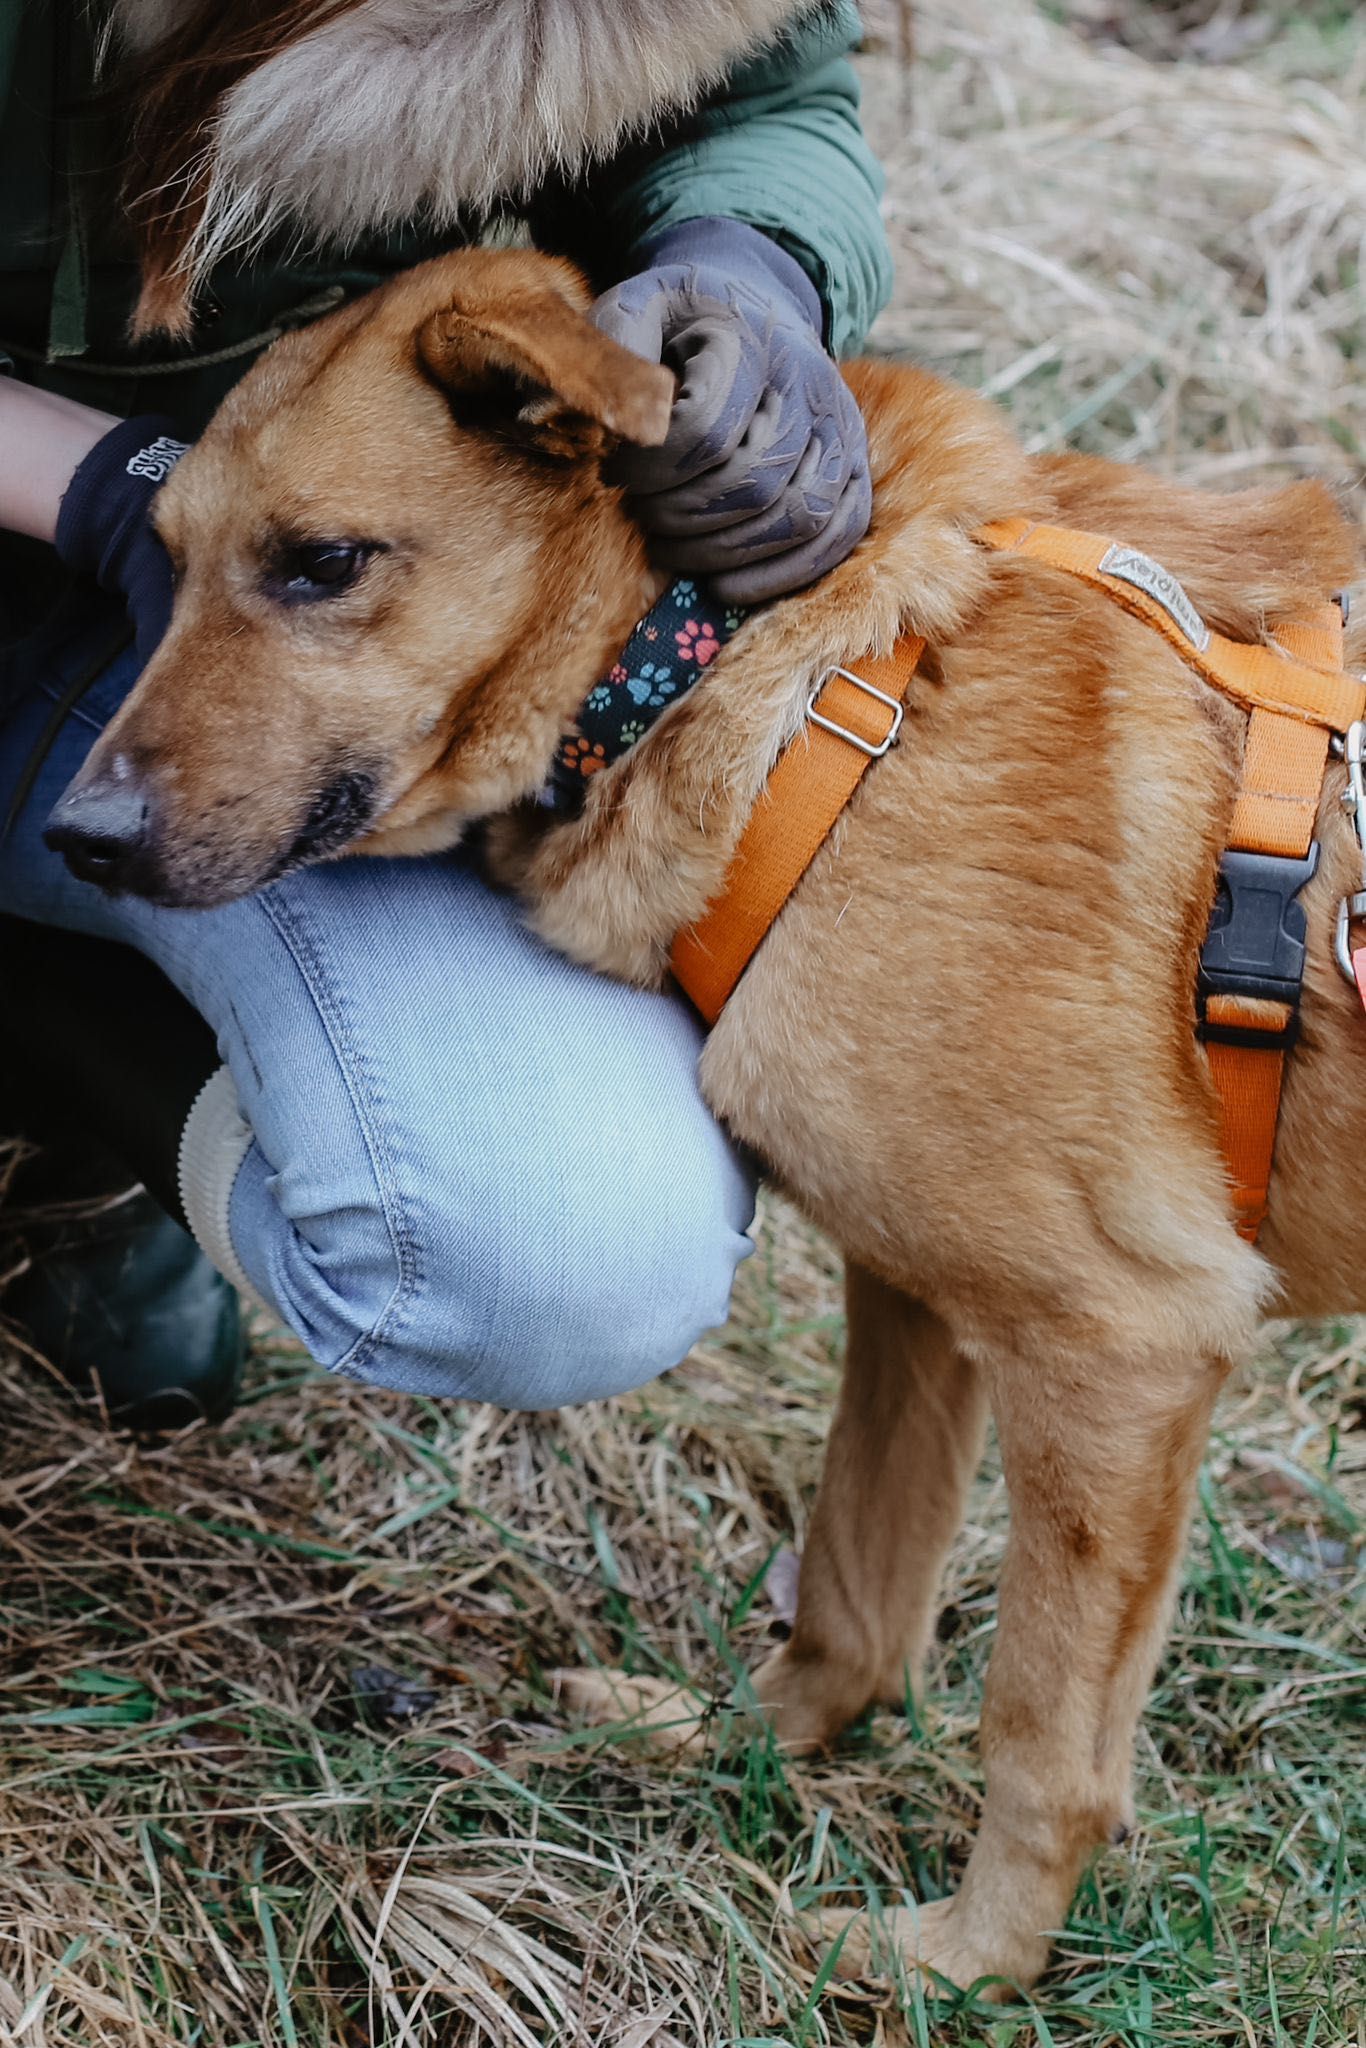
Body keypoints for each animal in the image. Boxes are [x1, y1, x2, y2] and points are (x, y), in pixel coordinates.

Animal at [42, 251, 1366, 1998]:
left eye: (323, 563)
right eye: (165, 556)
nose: (74, 836)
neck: (801, 688)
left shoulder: (1120, 1347)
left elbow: (1041, 1737)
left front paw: (961, 1966)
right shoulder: (919, 1302)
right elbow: (858, 1590)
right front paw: (745, 1736)